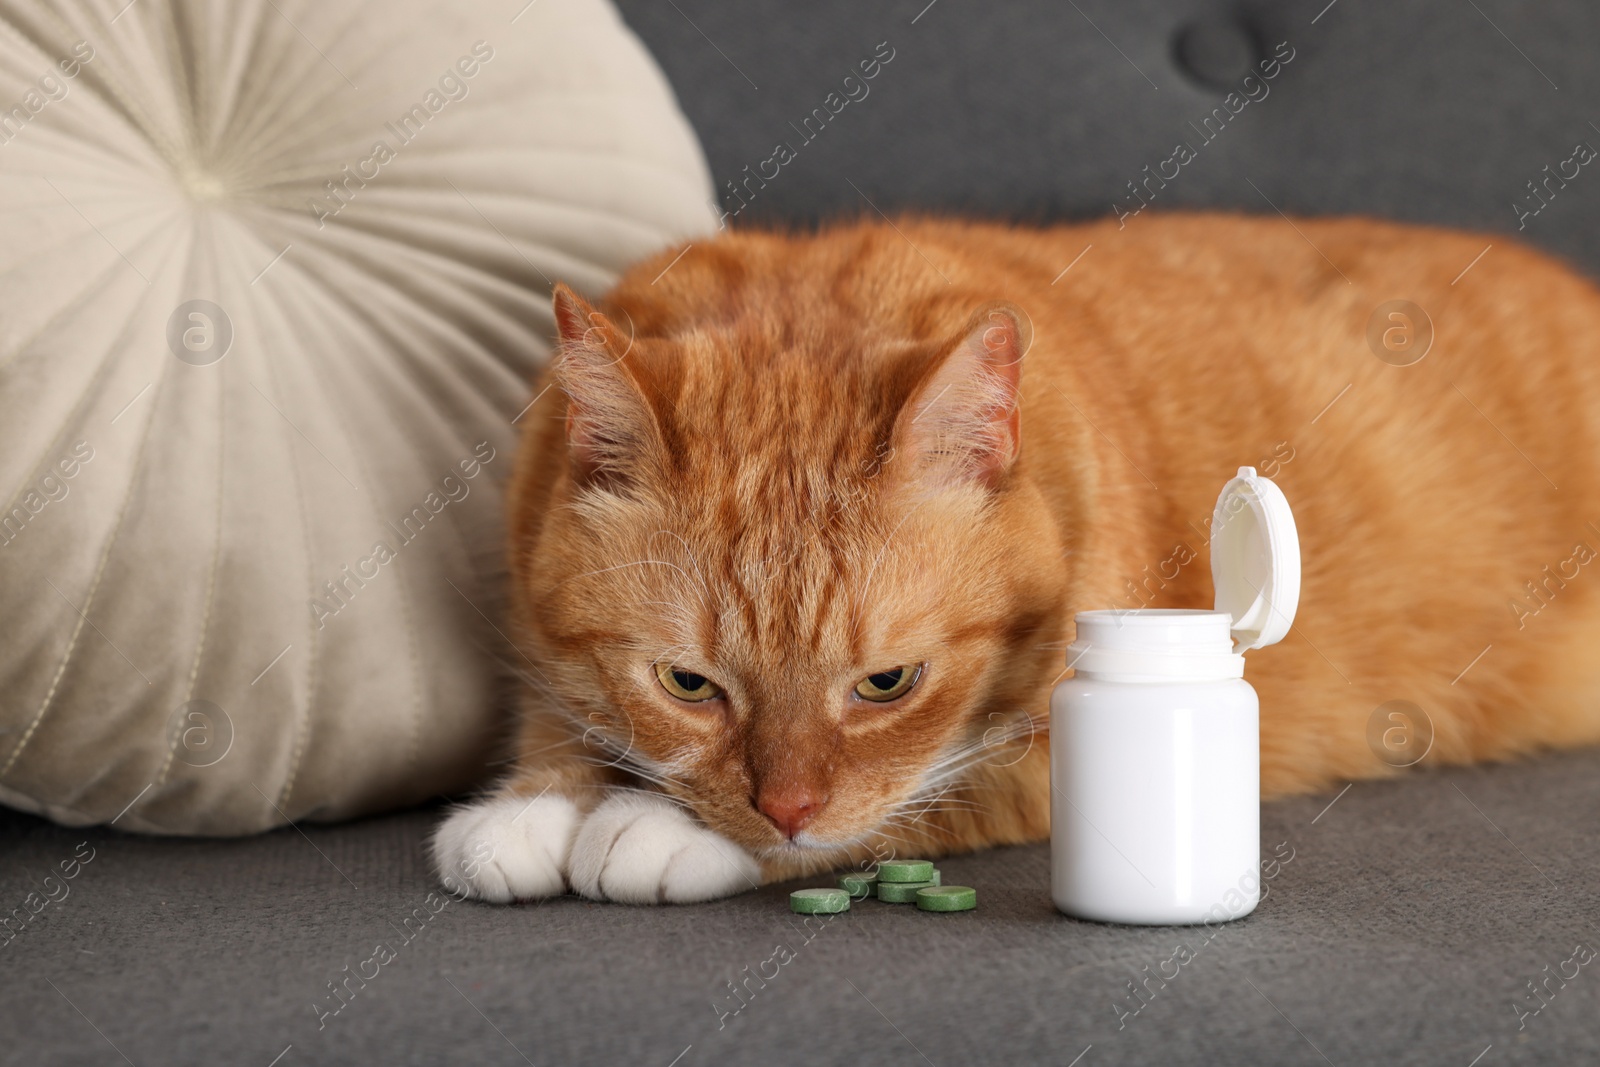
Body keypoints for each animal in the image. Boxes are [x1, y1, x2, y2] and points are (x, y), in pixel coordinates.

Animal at [428, 212, 1600, 908]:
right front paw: (537, 802)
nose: (785, 807)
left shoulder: (1029, 766)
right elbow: (555, 709)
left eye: (887, 682)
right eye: (688, 682)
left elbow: (906, 802)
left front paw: (650, 827)